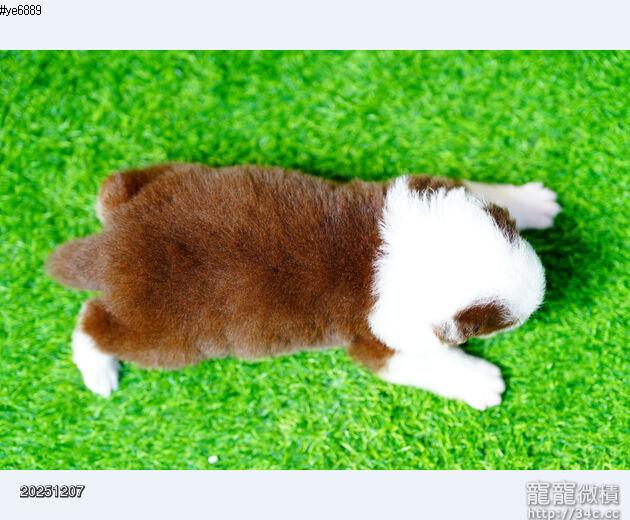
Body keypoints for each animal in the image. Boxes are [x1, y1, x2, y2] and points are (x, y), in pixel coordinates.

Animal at [47, 163, 560, 409]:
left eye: (510, 230)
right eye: (492, 323)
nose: (542, 293)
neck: (384, 257)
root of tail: (108, 246)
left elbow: (476, 185)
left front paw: (531, 203)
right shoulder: (375, 339)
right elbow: (422, 364)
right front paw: (480, 381)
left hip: (165, 178)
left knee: (114, 184)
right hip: (163, 339)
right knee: (92, 323)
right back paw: (99, 372)